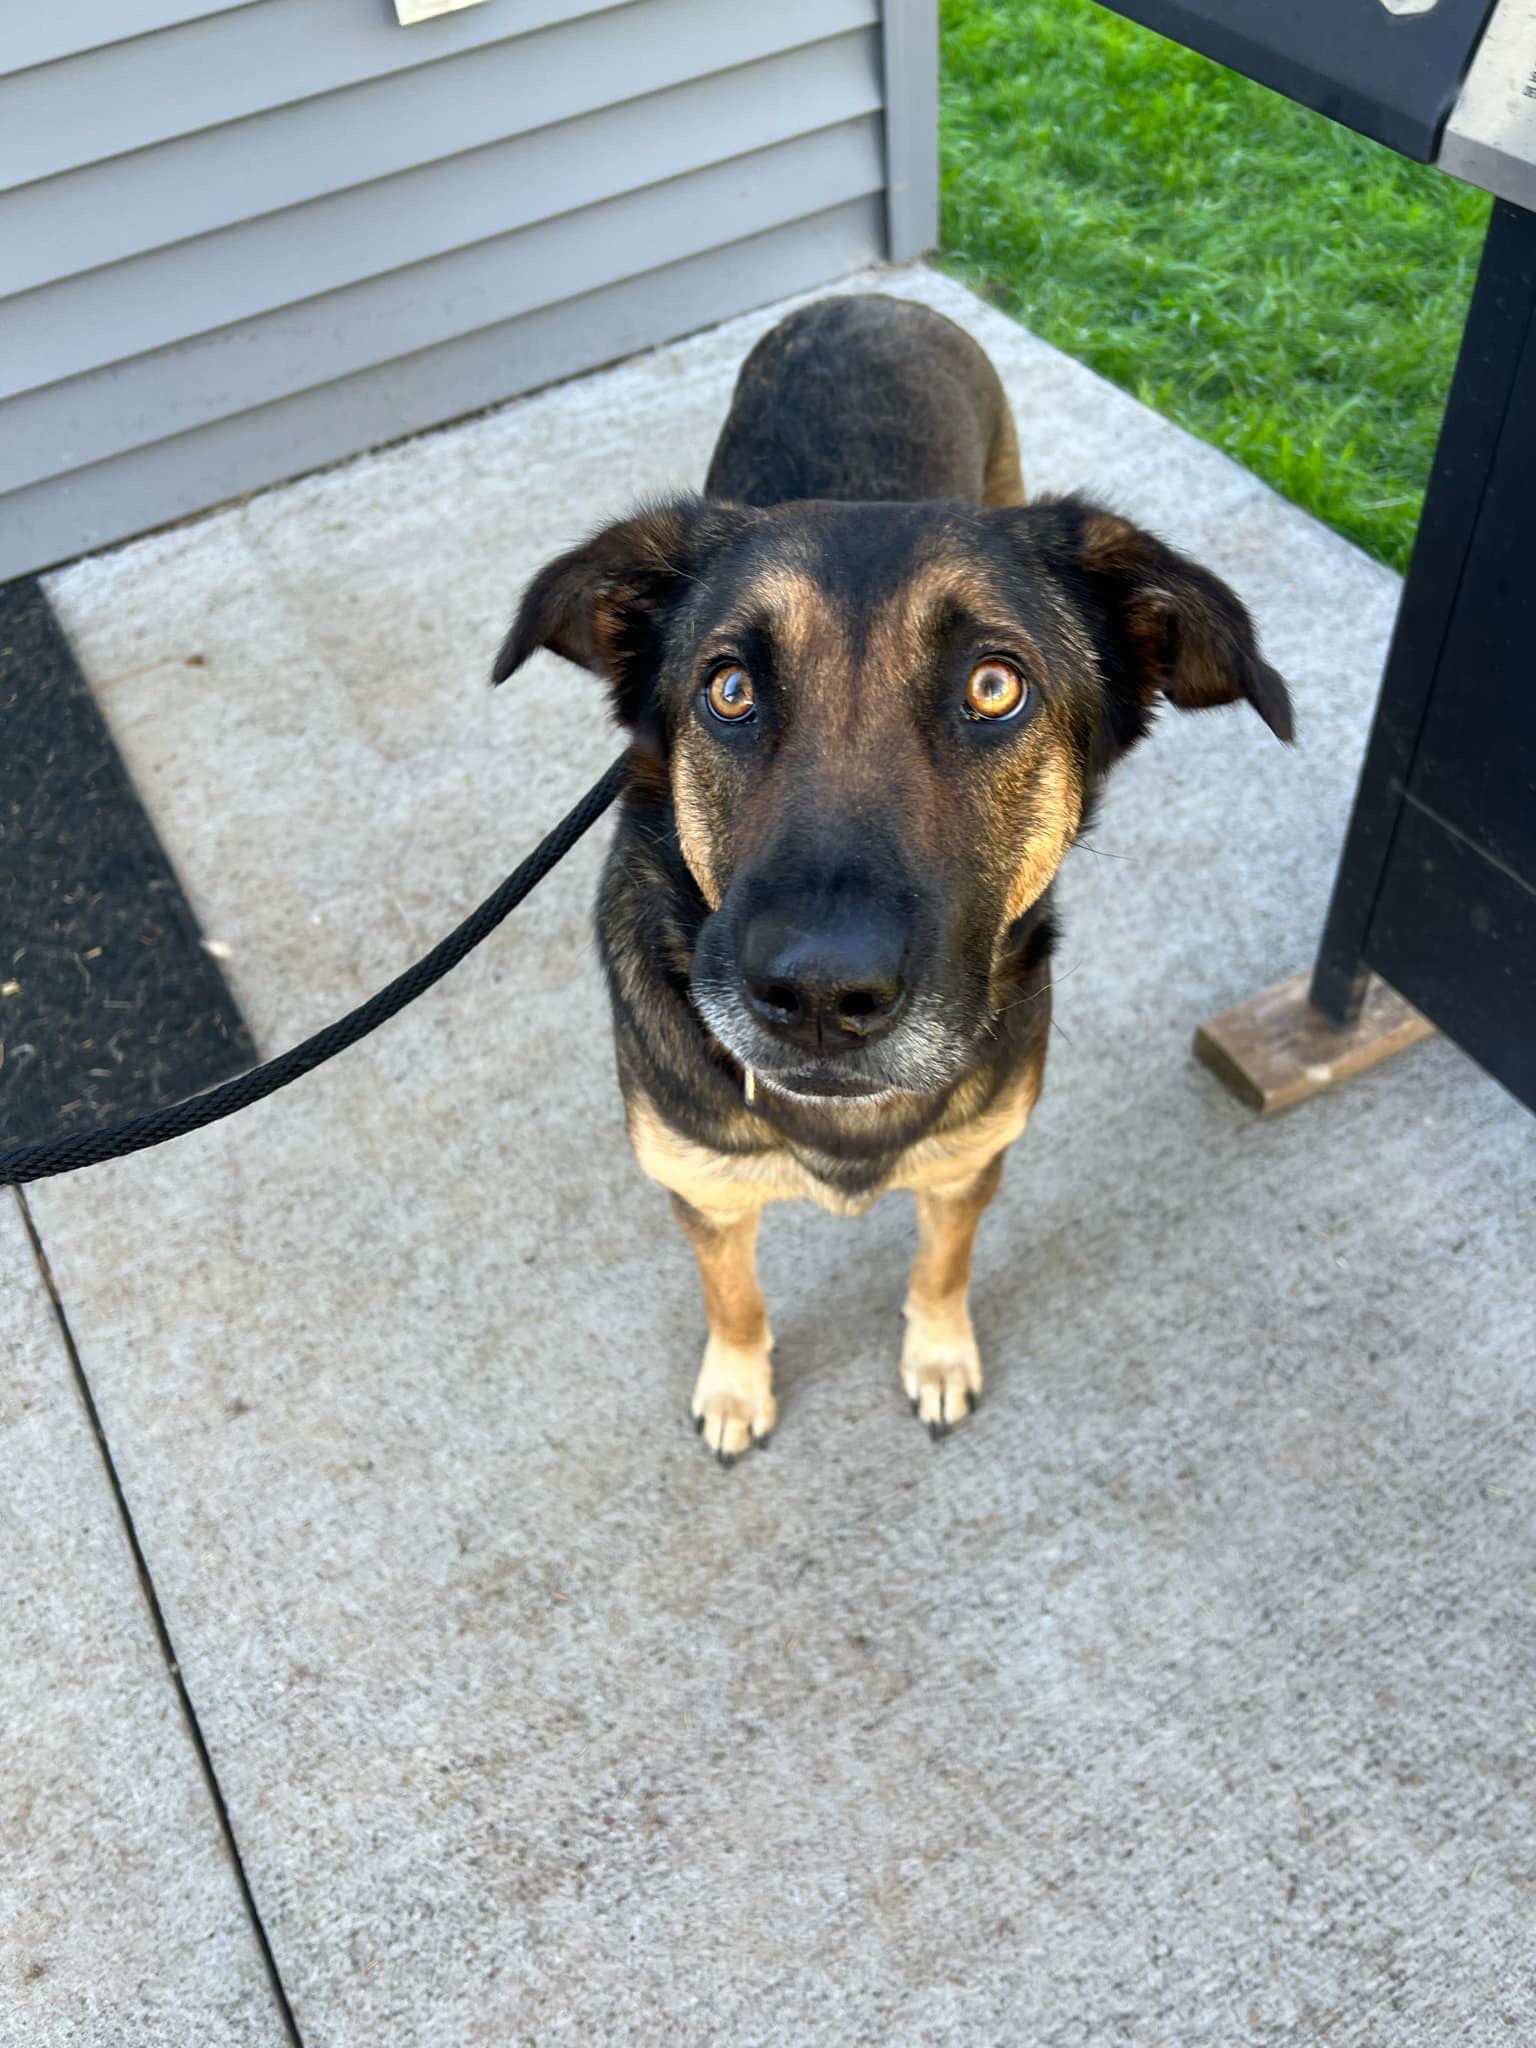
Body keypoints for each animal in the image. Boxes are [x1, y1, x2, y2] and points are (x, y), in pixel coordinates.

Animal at [499, 296, 1294, 1466]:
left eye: (995, 686)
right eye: (729, 690)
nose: (823, 997)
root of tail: (874, 298)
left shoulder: (971, 1163)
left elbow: (941, 1262)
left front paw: (939, 1354)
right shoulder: (704, 1188)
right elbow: (734, 1295)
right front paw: (737, 1384)